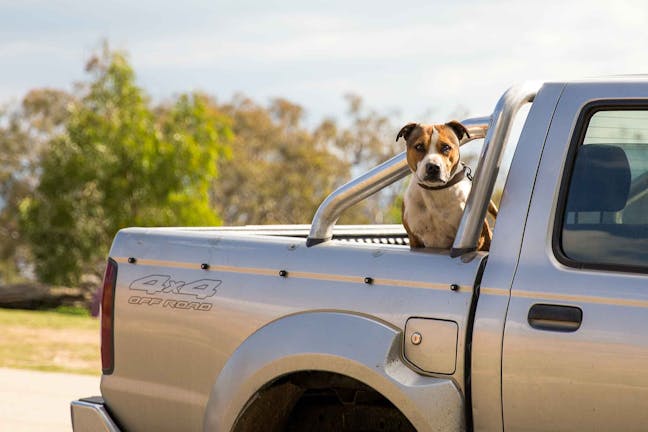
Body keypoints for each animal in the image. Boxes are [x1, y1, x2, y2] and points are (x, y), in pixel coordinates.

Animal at [394, 120, 496, 250]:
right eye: (419, 146)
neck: (435, 190)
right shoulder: (414, 241)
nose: (433, 167)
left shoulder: (477, 241)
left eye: (446, 147)